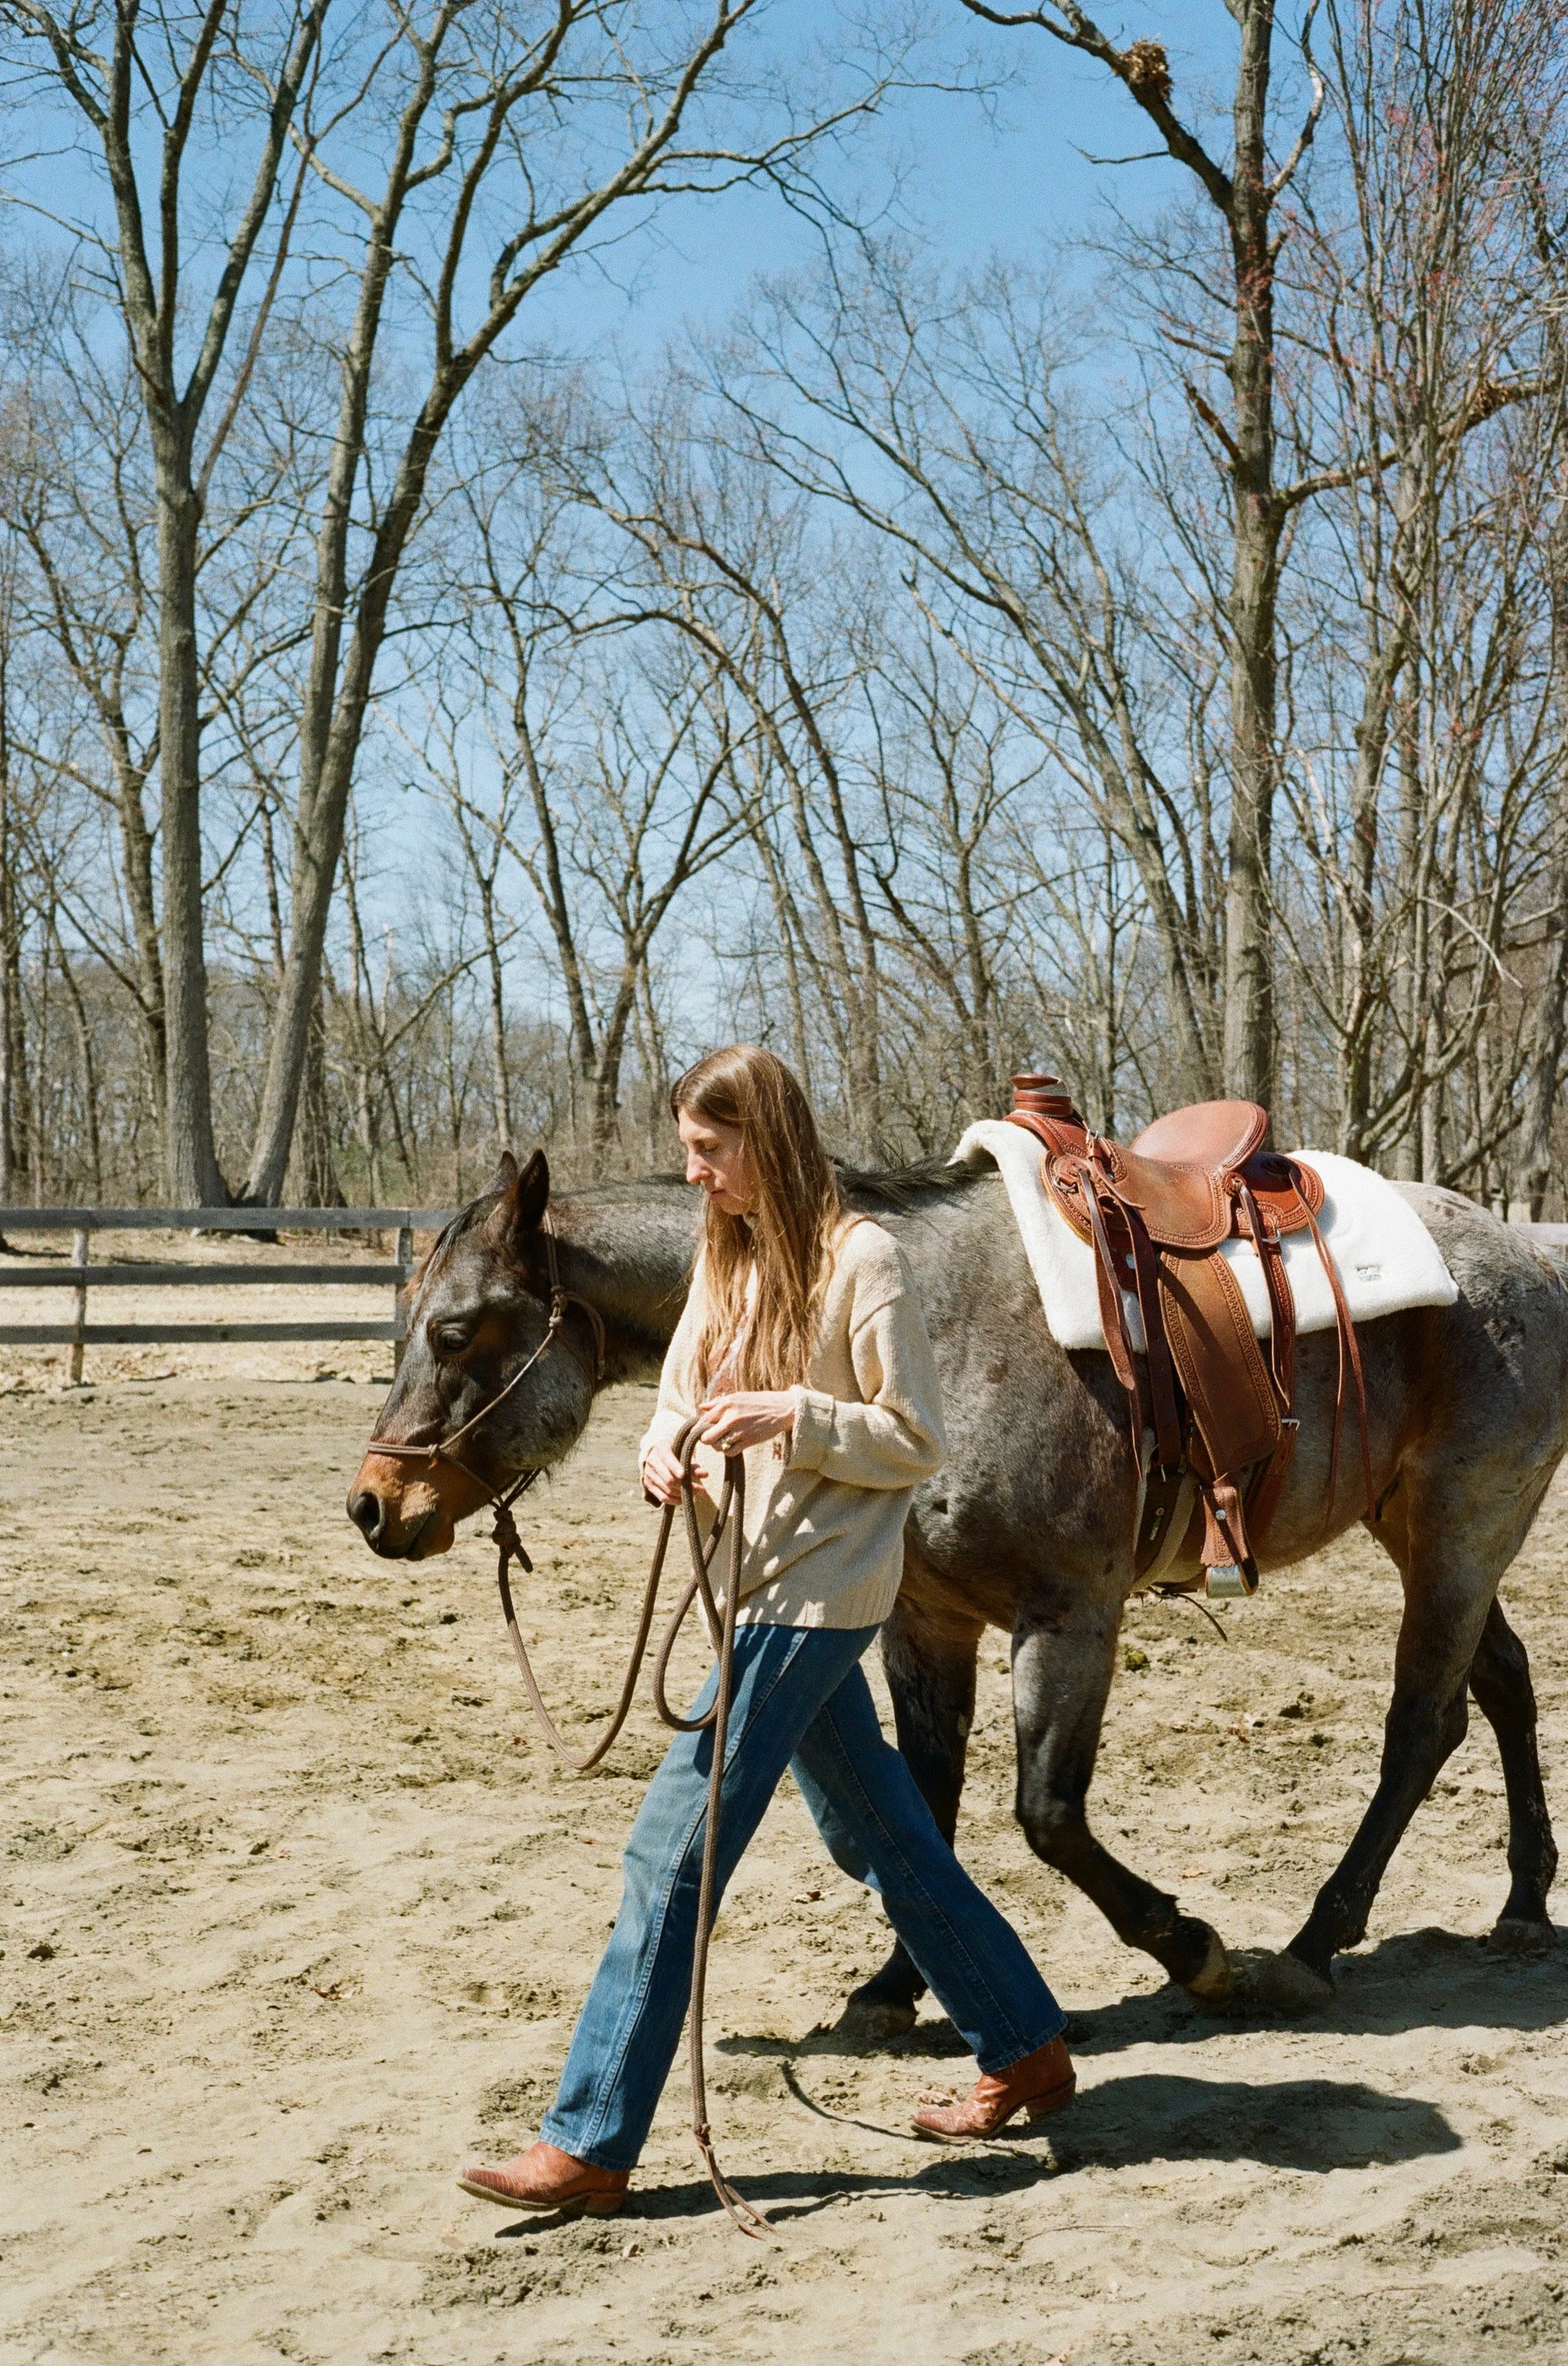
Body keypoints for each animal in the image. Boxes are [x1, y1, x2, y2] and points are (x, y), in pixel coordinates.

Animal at [347, 1145, 1568, 2020]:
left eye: (454, 1329)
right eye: (407, 1323)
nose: (373, 1505)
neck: (913, 1336)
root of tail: (1525, 1254)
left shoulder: (1069, 1618)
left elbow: (1046, 1814)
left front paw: (1192, 1950)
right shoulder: (924, 1625)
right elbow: (925, 1806)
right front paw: (898, 1984)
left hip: (1458, 1530)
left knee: (1422, 1724)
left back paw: (1311, 1945)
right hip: (1420, 1528)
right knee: (1501, 1684)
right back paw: (1519, 1903)